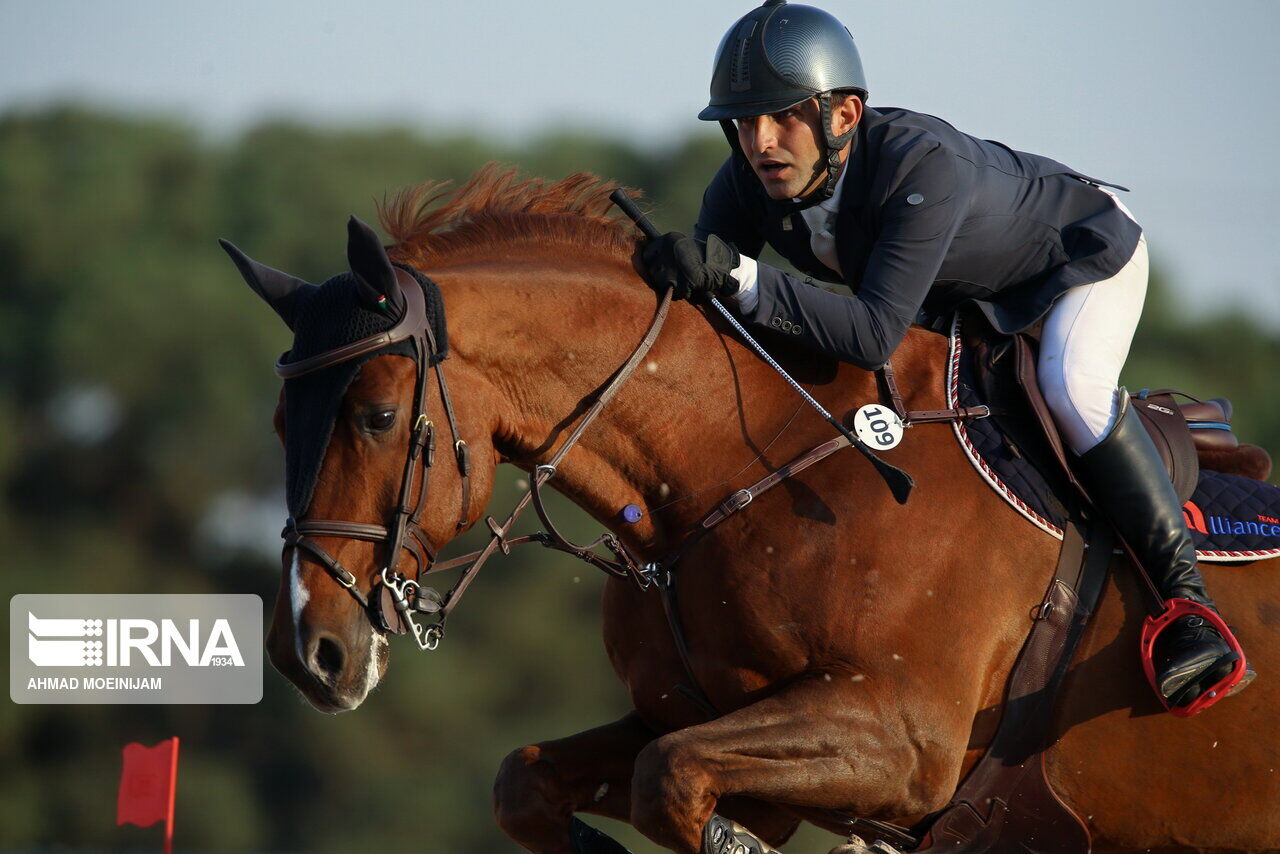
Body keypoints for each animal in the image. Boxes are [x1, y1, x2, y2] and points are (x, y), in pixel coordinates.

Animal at [230, 169, 1280, 854]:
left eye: (374, 416)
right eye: (279, 420)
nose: (308, 654)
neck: (743, 464)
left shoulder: (903, 742)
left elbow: (670, 779)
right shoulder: (706, 720)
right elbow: (534, 781)